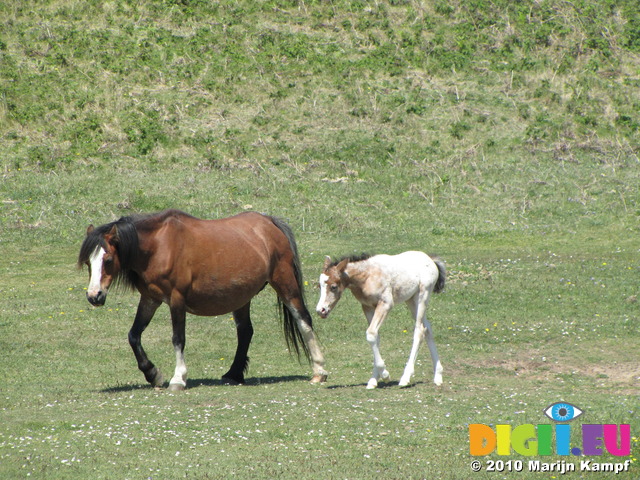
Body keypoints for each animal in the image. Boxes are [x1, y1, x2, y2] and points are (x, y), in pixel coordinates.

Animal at [77, 210, 328, 390]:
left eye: (108, 260)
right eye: (89, 262)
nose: (94, 296)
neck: (159, 246)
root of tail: (270, 222)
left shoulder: (176, 300)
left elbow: (178, 339)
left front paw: (178, 378)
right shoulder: (150, 298)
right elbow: (134, 335)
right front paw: (152, 374)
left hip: (285, 283)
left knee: (304, 320)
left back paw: (319, 371)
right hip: (241, 297)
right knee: (245, 331)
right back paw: (234, 374)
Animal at [316, 251, 444, 390]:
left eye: (333, 287)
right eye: (320, 286)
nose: (321, 310)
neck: (367, 276)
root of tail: (430, 259)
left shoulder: (385, 304)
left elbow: (371, 334)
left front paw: (385, 375)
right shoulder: (367, 306)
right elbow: (375, 337)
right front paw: (374, 379)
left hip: (422, 296)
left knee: (419, 330)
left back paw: (406, 377)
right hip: (411, 300)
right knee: (427, 328)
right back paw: (438, 376)